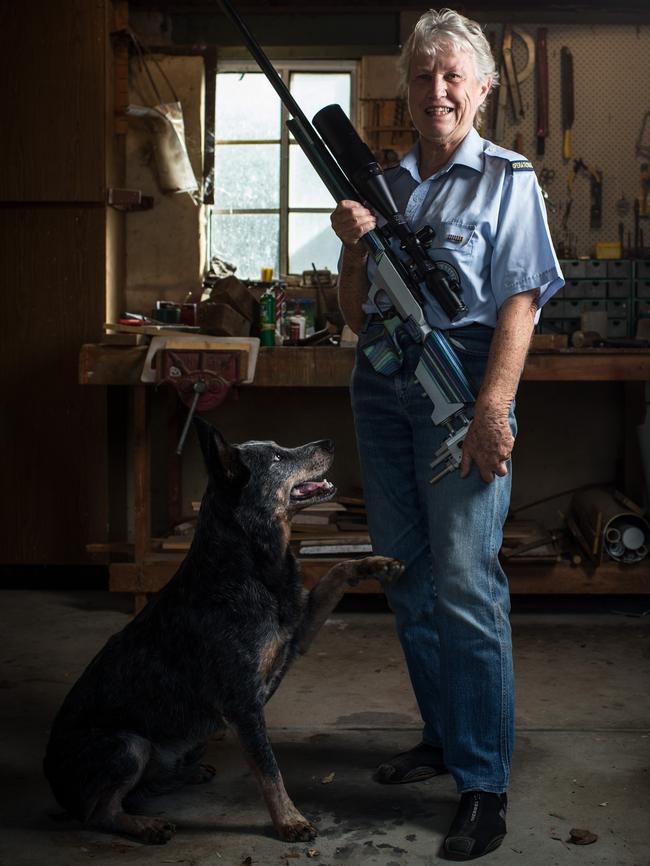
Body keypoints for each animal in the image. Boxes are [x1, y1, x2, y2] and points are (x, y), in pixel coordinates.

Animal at [44, 418, 400, 844]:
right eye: (277, 457)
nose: (330, 441)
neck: (251, 562)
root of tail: (53, 783)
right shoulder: (242, 703)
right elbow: (269, 769)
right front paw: (289, 821)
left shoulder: (297, 634)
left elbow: (336, 570)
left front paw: (373, 564)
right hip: (127, 745)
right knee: (99, 811)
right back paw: (145, 825)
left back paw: (183, 776)